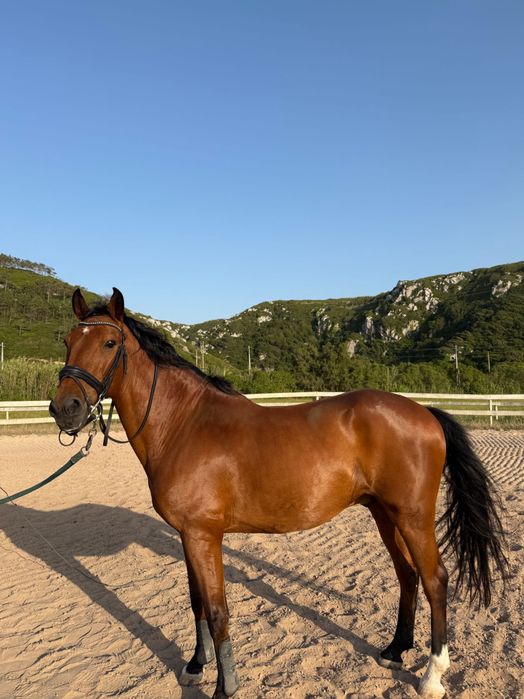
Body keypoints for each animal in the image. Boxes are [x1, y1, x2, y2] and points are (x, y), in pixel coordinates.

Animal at [49, 288, 508, 699]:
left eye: (109, 343)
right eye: (68, 342)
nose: (64, 409)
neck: (186, 423)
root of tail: (424, 412)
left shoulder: (203, 535)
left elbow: (217, 611)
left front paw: (224, 687)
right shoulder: (187, 535)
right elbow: (196, 602)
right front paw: (196, 667)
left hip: (412, 517)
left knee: (435, 579)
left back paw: (432, 676)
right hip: (384, 514)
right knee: (407, 575)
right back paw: (395, 650)